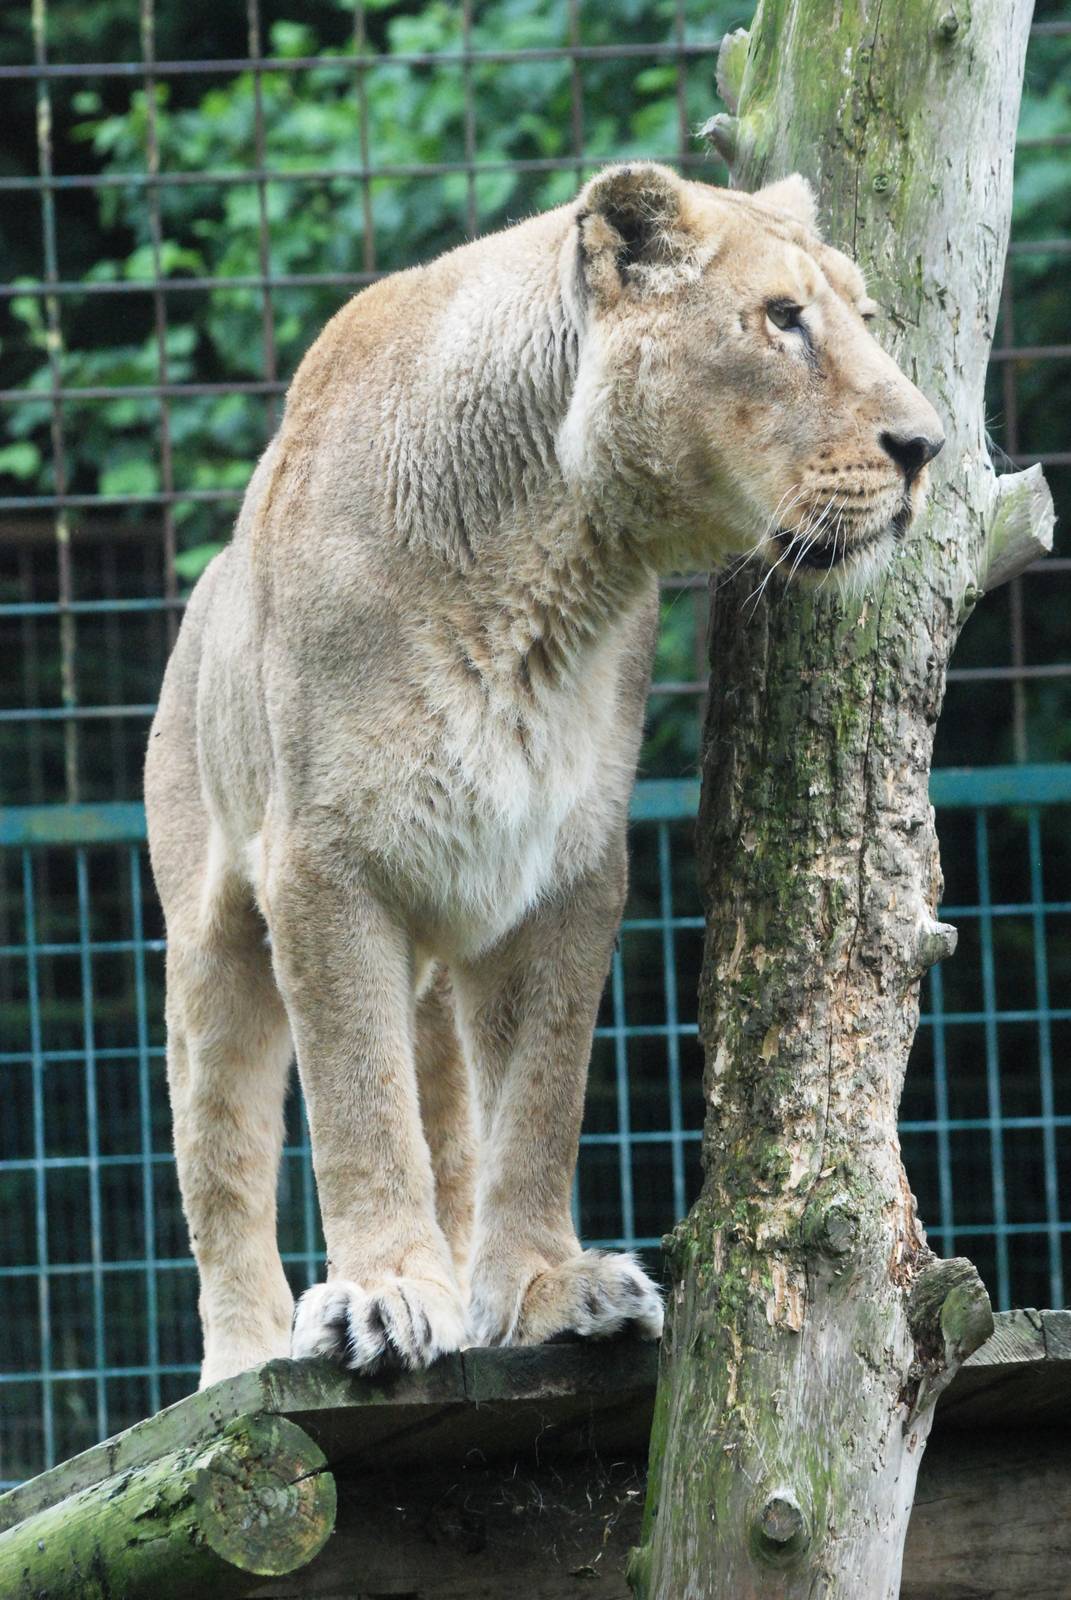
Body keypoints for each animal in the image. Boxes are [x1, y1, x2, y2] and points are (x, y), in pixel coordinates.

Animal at [145, 163, 944, 1387]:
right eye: (783, 318)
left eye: (860, 311)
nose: (927, 446)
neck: (553, 563)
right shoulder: (322, 867)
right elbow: (357, 1102)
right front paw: (385, 1294)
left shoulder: (565, 867)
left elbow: (536, 1100)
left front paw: (542, 1289)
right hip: (210, 935)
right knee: (220, 1144)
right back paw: (242, 1357)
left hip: (434, 957)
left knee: (447, 1112)